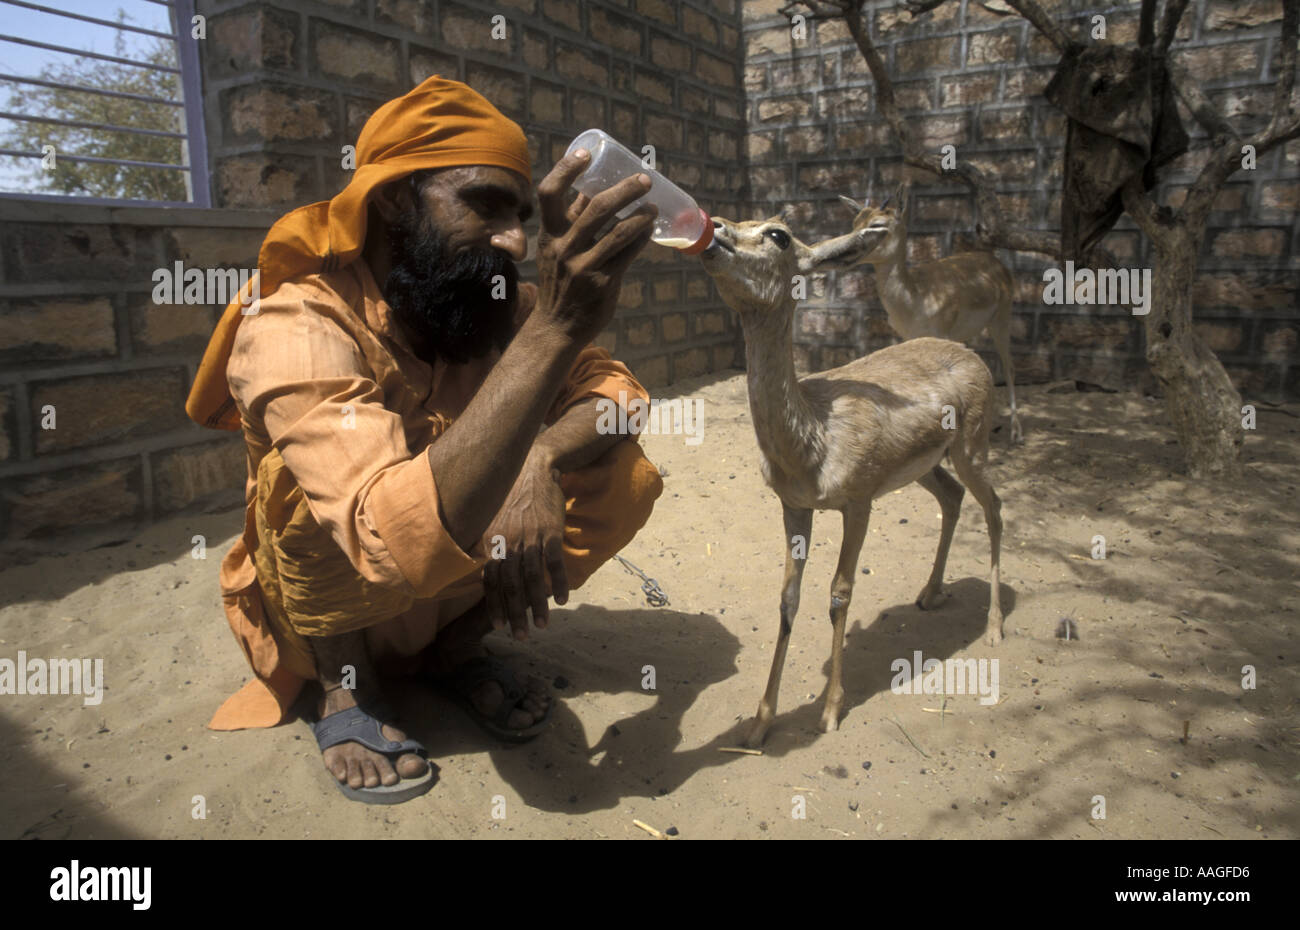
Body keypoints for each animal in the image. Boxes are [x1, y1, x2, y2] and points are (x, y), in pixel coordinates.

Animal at [702, 213, 1003, 749]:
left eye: (778, 234)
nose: (714, 229)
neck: (813, 437)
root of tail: (967, 353)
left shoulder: (858, 505)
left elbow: (839, 593)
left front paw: (829, 712)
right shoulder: (794, 507)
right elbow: (788, 599)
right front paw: (760, 723)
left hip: (971, 450)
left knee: (995, 508)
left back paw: (995, 628)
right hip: (929, 467)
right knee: (952, 498)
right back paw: (928, 595)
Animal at [842, 183, 1024, 444]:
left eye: (877, 224)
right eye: (855, 222)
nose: (848, 249)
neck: (915, 296)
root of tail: (999, 265)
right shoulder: (910, 338)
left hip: (1001, 319)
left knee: (1009, 367)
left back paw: (1016, 433)